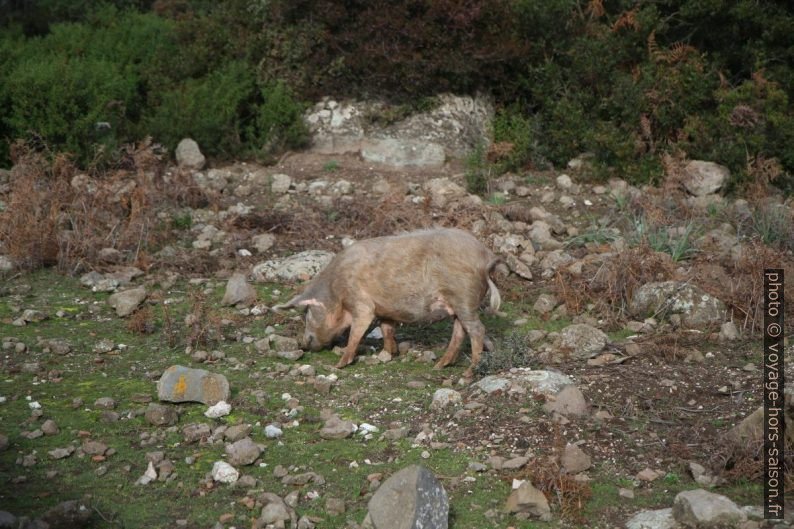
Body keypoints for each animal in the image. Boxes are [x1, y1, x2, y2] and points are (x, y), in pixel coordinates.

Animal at [272, 227, 502, 376]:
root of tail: (486, 257)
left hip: (464, 297)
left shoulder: (361, 304)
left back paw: (468, 373)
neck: (335, 293)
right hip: (458, 305)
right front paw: (390, 353)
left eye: (307, 312)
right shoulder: (384, 310)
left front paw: (339, 365)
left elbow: (356, 333)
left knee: (477, 330)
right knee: (459, 332)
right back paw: (439, 366)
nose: (303, 343)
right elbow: (386, 329)